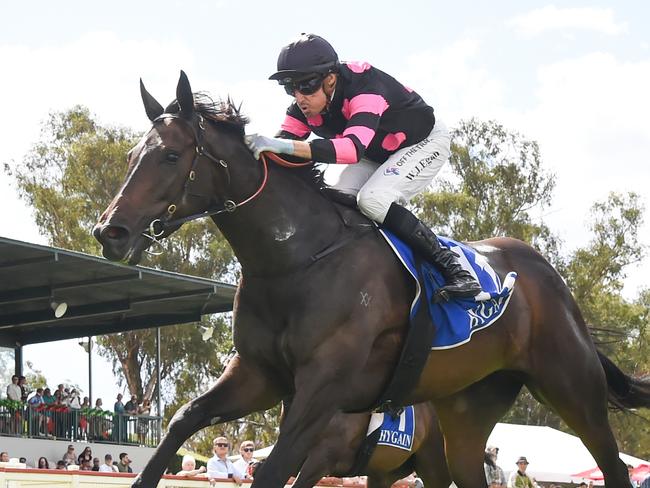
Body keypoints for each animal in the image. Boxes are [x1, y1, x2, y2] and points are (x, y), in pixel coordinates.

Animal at [92, 72, 648, 488]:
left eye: (170, 156)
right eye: (130, 157)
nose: (110, 232)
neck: (296, 259)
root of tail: (545, 274)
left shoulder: (320, 392)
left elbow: (271, 471)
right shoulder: (260, 376)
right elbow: (183, 420)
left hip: (572, 386)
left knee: (614, 465)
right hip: (467, 410)